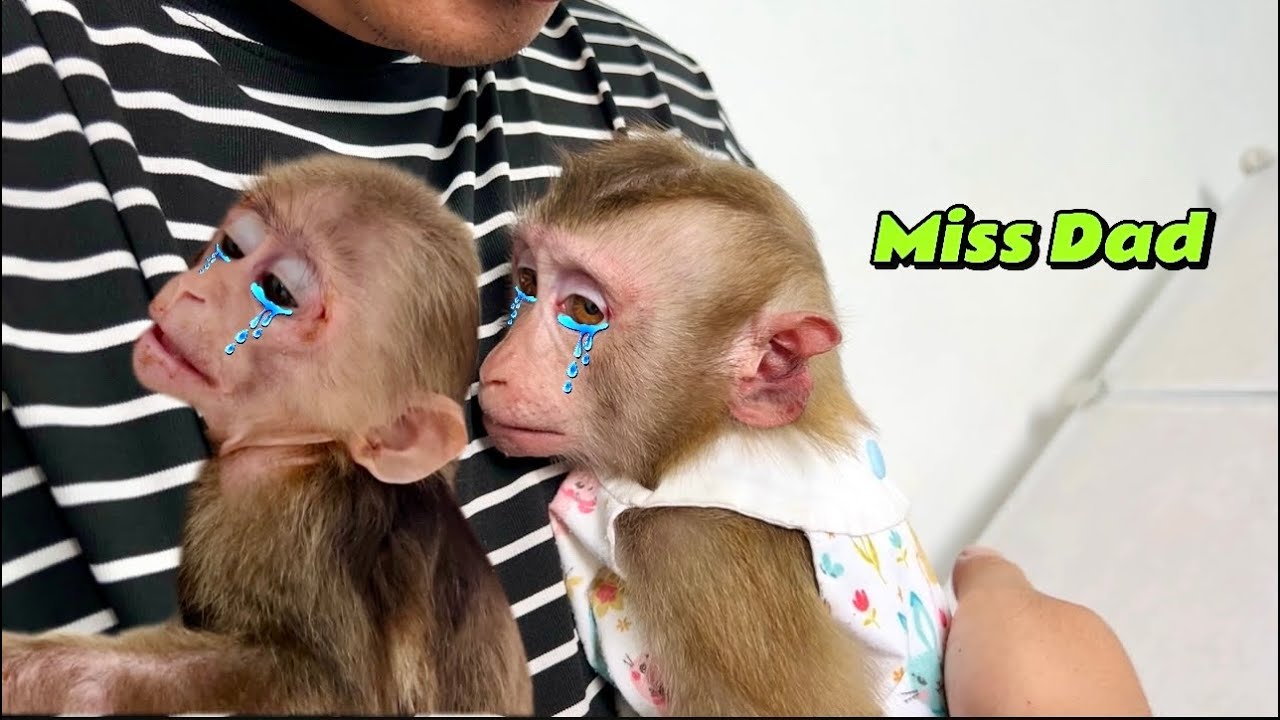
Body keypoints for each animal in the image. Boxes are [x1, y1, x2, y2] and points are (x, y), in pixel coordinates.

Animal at [1, 154, 534, 716]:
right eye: (233, 249)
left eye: (277, 292)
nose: (194, 290)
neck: (307, 451)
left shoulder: (306, 530)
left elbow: (332, 688)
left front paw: (34, 672)